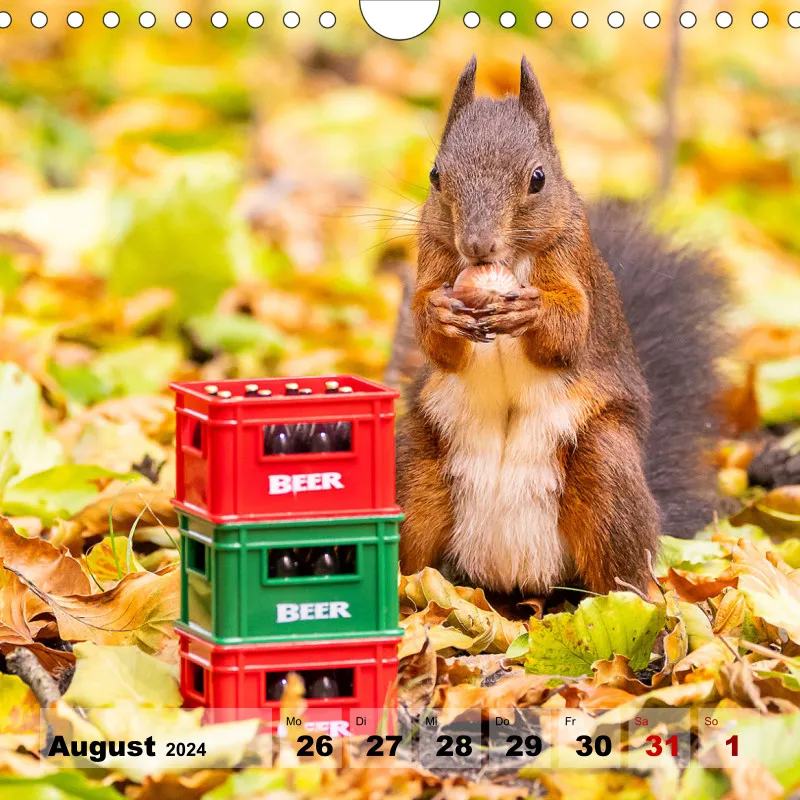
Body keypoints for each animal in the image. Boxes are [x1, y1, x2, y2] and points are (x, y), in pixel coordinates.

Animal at [395, 56, 730, 596]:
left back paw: (632, 607)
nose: (478, 245)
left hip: (607, 471)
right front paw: (440, 314)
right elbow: (435, 338)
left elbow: (569, 330)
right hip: (414, 468)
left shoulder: (573, 262)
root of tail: (511, 573)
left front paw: (529, 313)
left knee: (623, 565)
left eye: (538, 178)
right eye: (435, 175)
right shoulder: (432, 256)